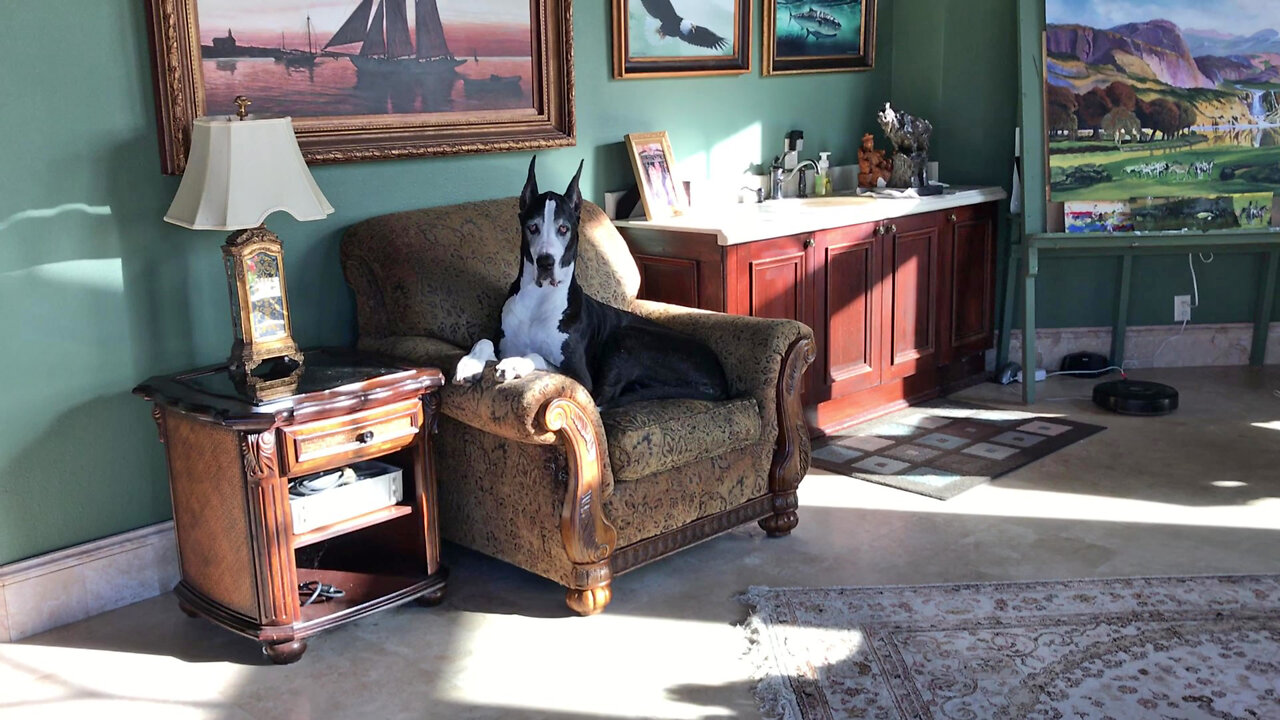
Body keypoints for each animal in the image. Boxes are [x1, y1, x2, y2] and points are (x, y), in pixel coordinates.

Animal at [455, 155, 727, 409]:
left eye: (563, 229)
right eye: (532, 227)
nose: (545, 262)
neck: (538, 299)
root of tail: (720, 379)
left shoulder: (581, 379)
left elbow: (539, 356)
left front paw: (514, 364)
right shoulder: (503, 341)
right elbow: (484, 340)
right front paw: (470, 364)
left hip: (627, 337)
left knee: (601, 397)